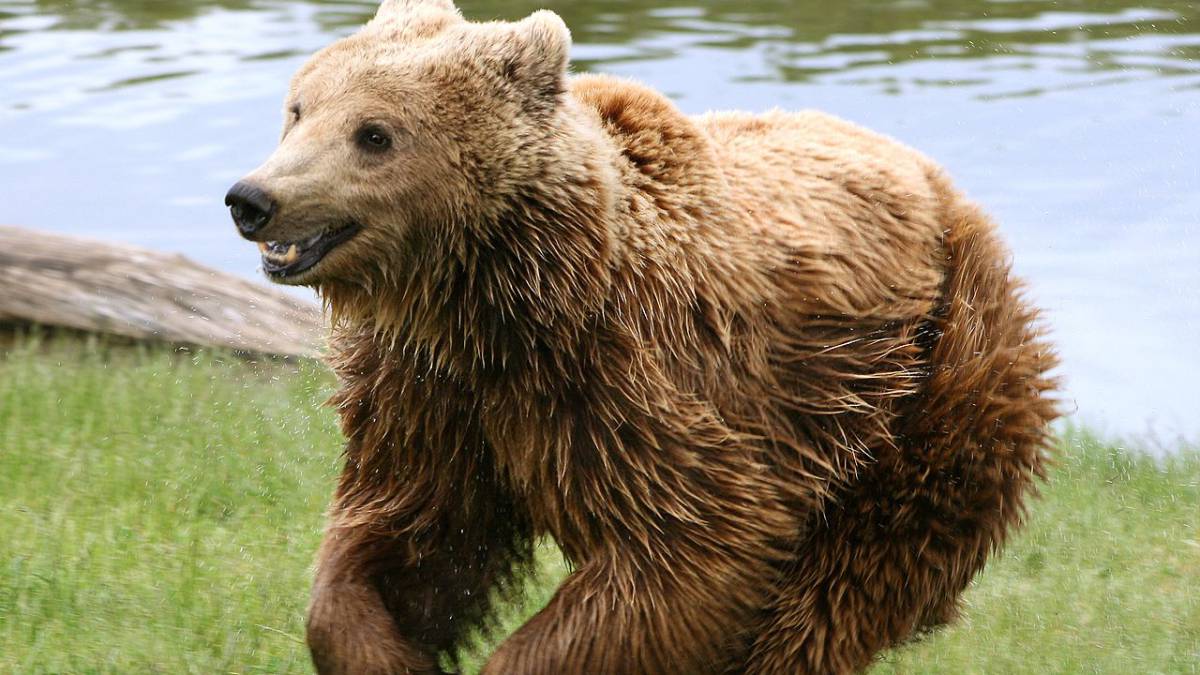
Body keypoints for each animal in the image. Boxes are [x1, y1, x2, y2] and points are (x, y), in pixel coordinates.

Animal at [224, 1, 1061, 673]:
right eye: (299, 108)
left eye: (374, 133)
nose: (253, 198)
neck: (490, 296)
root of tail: (939, 183)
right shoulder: (431, 395)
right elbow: (412, 536)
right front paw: (386, 650)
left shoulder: (630, 381)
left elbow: (687, 551)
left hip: (924, 383)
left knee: (840, 589)